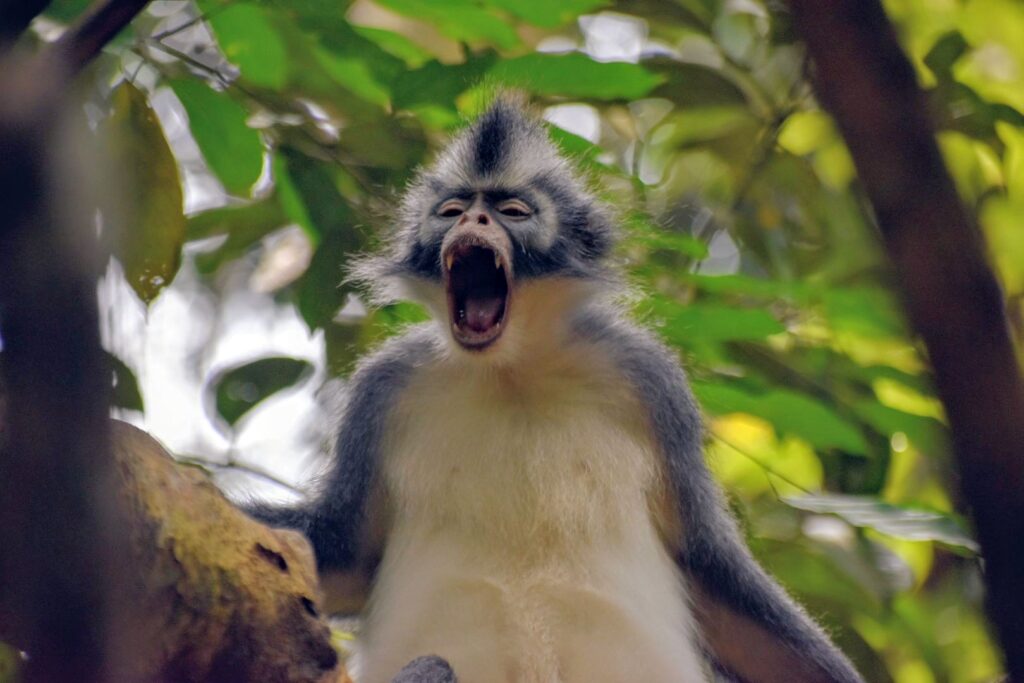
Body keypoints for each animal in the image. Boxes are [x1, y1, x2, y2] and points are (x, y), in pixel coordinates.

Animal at [247, 96, 863, 683]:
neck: (514, 370)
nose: (474, 219)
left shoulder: (649, 382)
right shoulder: (385, 388)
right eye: (451, 211)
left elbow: (711, 568)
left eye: (512, 211)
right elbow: (341, 553)